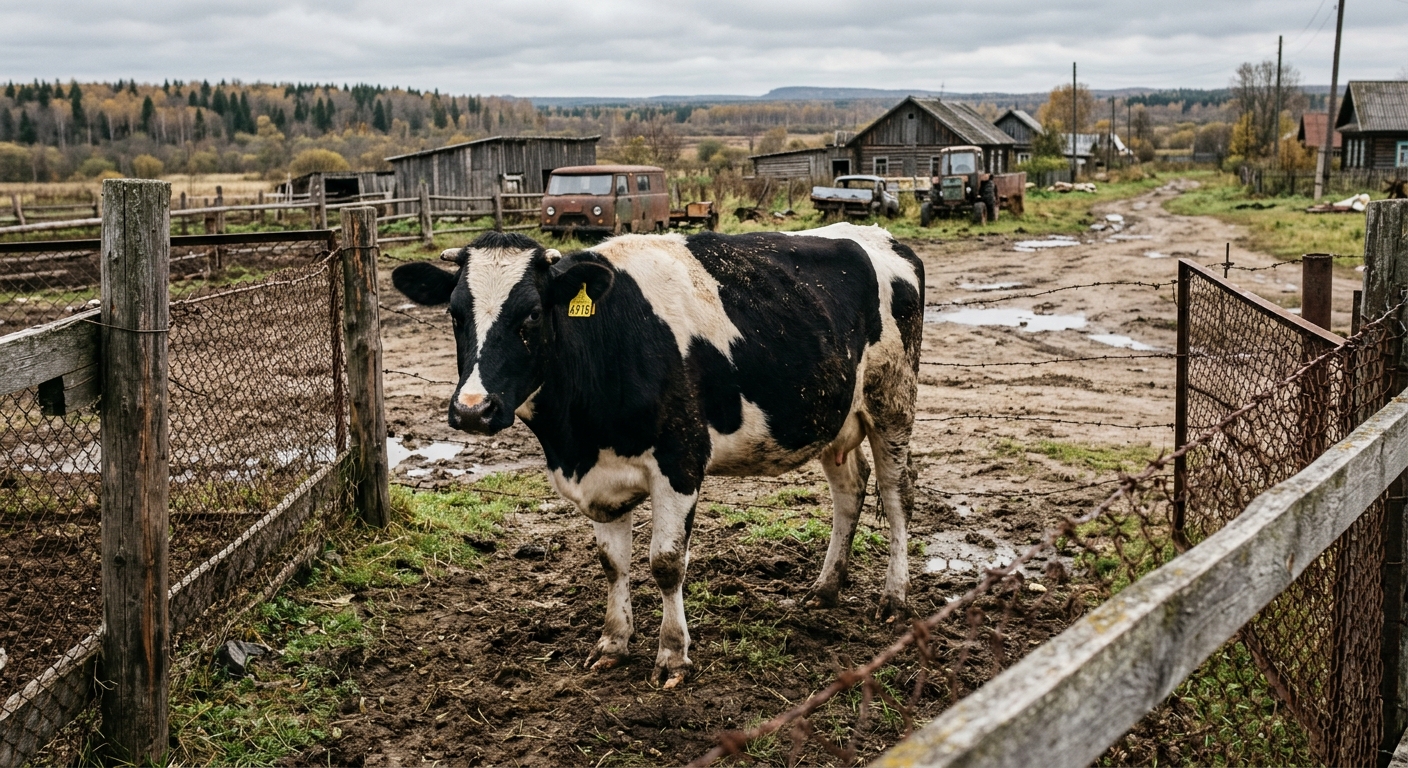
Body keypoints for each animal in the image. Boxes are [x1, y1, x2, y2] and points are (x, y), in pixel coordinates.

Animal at [390, 223, 923, 688]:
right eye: (455, 314)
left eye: (533, 314)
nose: (473, 409)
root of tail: (879, 236)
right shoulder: (598, 477)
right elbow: (612, 563)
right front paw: (612, 643)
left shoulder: (680, 460)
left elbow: (666, 563)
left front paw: (672, 655)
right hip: (834, 416)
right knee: (849, 490)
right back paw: (825, 589)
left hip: (893, 399)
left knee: (897, 494)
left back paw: (894, 597)